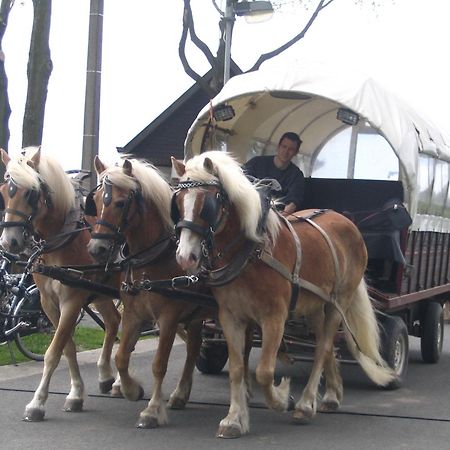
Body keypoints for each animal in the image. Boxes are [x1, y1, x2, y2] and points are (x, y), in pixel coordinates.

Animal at [0, 149, 121, 422]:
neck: (63, 240)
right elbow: (67, 347)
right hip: (101, 293)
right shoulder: (48, 302)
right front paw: (76, 394)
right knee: (113, 321)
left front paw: (37, 403)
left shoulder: (72, 300)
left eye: (31, 193)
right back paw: (106, 375)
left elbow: (53, 352)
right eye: (4, 190)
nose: (9, 242)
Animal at [86, 156, 216, 428]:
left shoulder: (168, 318)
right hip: (196, 314)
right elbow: (121, 356)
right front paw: (131, 389)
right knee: (194, 346)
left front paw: (153, 410)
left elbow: (159, 364)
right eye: (95, 201)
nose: (96, 248)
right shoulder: (133, 314)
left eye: (121, 203)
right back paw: (180, 394)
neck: (154, 258)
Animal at [171, 150, 396, 436]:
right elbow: (237, 368)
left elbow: (264, 372)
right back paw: (332, 395)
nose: (185, 257)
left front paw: (281, 398)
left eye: (207, 205)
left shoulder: (274, 318)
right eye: (177, 203)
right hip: (314, 307)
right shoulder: (230, 318)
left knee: (323, 347)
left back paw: (306, 404)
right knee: (326, 346)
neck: (250, 253)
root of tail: (347, 221)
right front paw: (233, 419)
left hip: (338, 302)